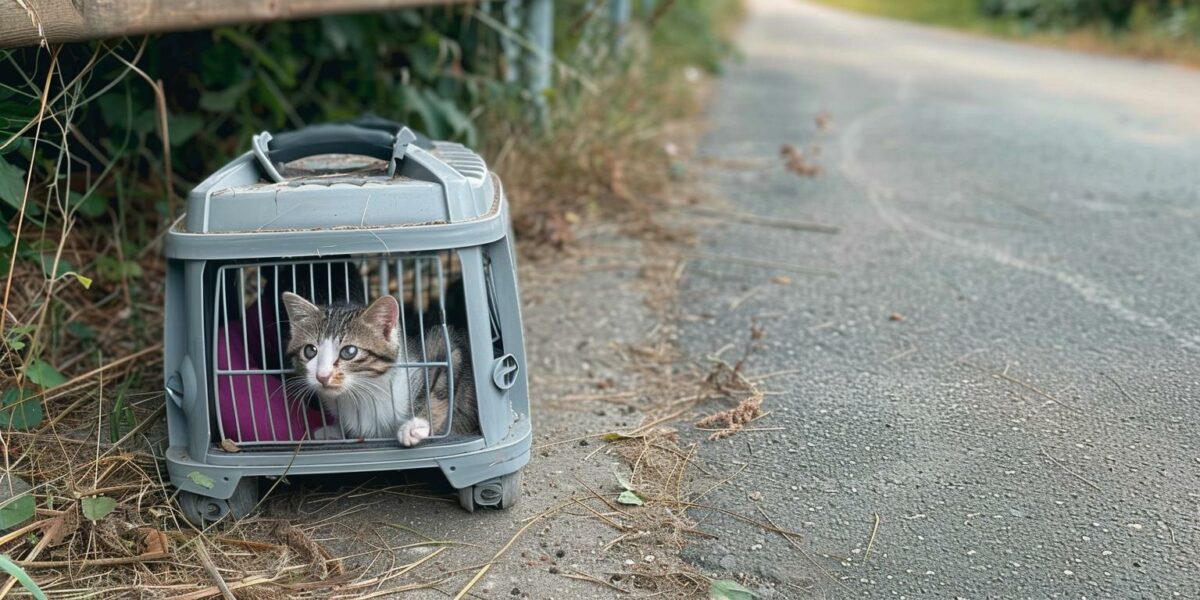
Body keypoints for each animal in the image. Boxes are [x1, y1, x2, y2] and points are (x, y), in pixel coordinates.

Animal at [280, 290, 477, 446]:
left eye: (349, 352)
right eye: (310, 351)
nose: (322, 376)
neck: (364, 395)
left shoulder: (444, 345)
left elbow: (440, 390)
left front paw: (416, 425)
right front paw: (334, 430)